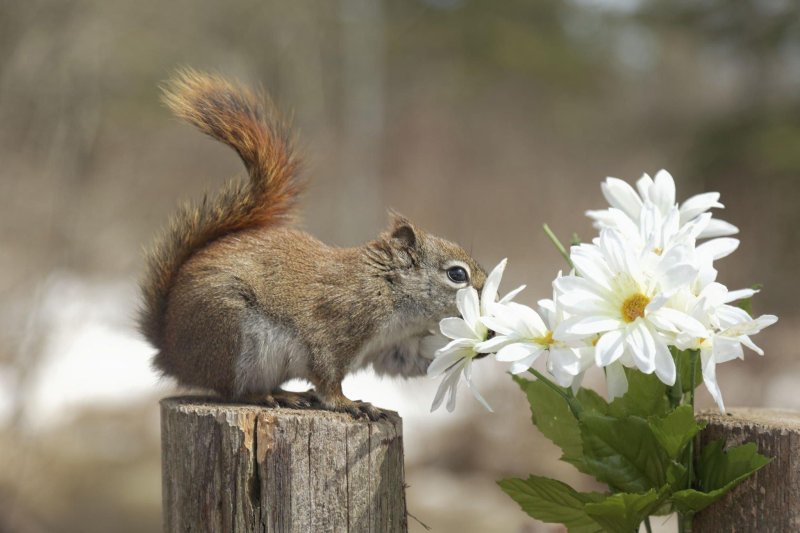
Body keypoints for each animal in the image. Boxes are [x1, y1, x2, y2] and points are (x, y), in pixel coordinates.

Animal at [139, 70, 488, 420]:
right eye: (457, 275)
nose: (487, 292)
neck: (387, 288)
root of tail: (170, 353)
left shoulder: (396, 346)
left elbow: (413, 361)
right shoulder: (336, 326)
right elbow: (328, 374)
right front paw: (349, 403)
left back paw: (288, 392)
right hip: (230, 333)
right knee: (232, 390)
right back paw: (271, 396)